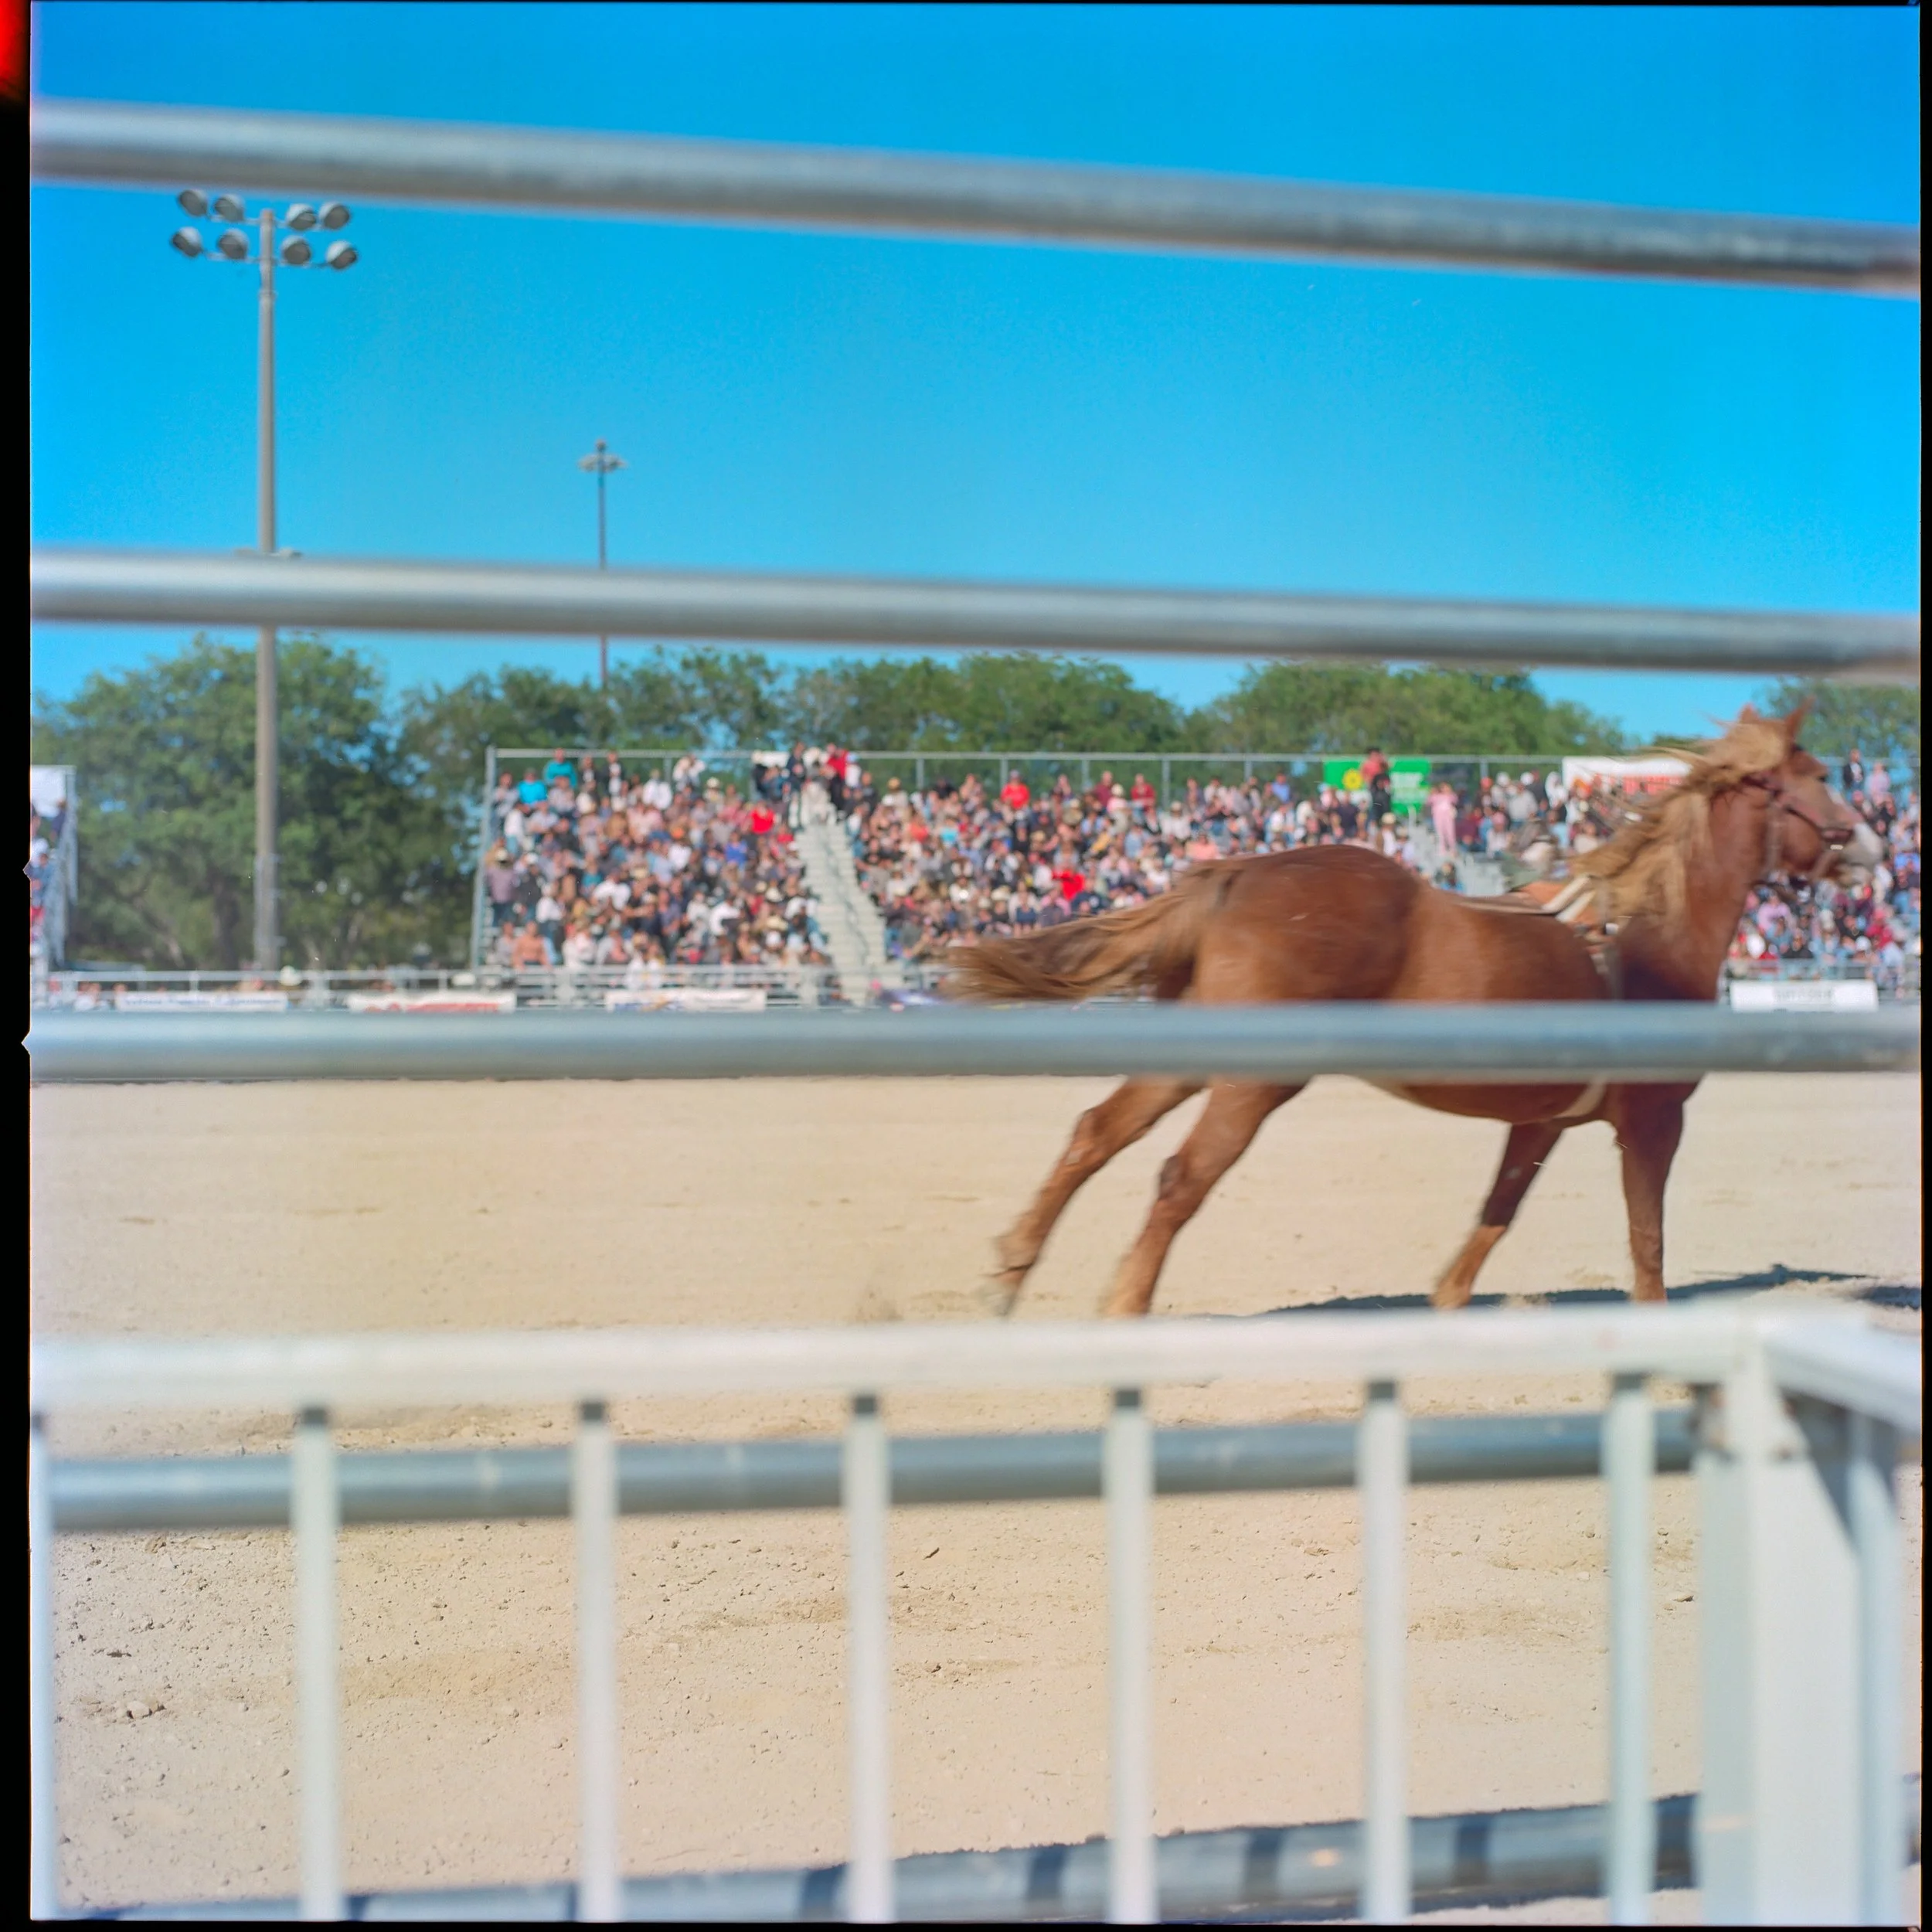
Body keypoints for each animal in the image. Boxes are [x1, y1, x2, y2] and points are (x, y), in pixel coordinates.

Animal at [947, 707, 1881, 1318]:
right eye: (1822, 781)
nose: (1874, 848)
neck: (1640, 930)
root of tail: (1239, 872)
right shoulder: (1653, 1121)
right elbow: (1646, 1241)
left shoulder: (1540, 1121)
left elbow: (1497, 1214)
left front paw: (1446, 1303)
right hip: (1253, 1079)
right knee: (1179, 1177)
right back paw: (1120, 1309)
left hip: (1189, 1051)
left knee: (1096, 1132)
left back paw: (1008, 1275)